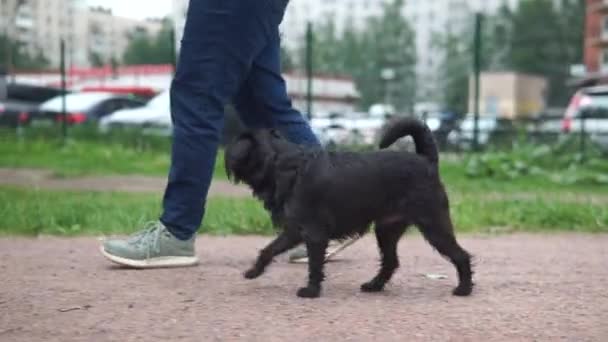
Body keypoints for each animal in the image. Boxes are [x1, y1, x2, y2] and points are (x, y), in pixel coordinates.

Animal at [226, 119, 472, 298]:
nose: (227, 154)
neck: (288, 165)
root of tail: (427, 160)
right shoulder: (294, 230)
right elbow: (269, 249)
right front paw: (255, 270)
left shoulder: (313, 233)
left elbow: (314, 264)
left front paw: (311, 291)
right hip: (386, 230)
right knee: (390, 261)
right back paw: (374, 285)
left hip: (434, 225)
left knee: (461, 255)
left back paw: (464, 289)